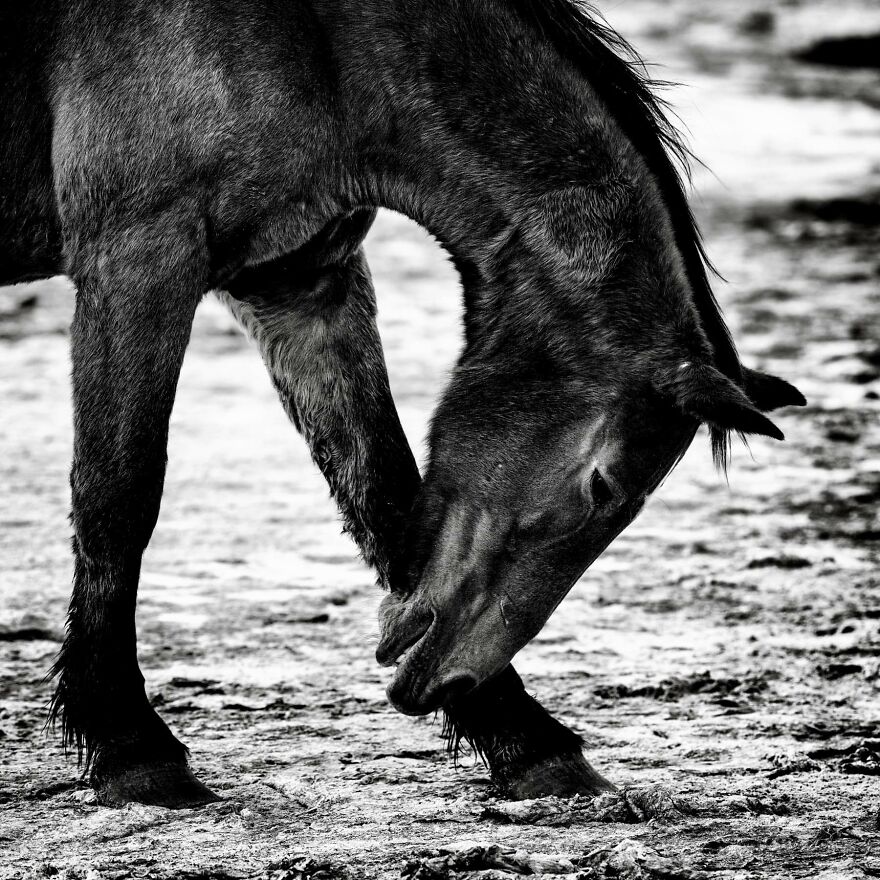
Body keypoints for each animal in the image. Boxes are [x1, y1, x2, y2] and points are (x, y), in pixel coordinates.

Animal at [1, 0, 805, 808]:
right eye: (601, 485)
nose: (449, 679)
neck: (322, 46)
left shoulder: (300, 283)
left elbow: (382, 495)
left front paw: (522, 738)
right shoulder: (139, 258)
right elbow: (118, 501)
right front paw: (129, 745)